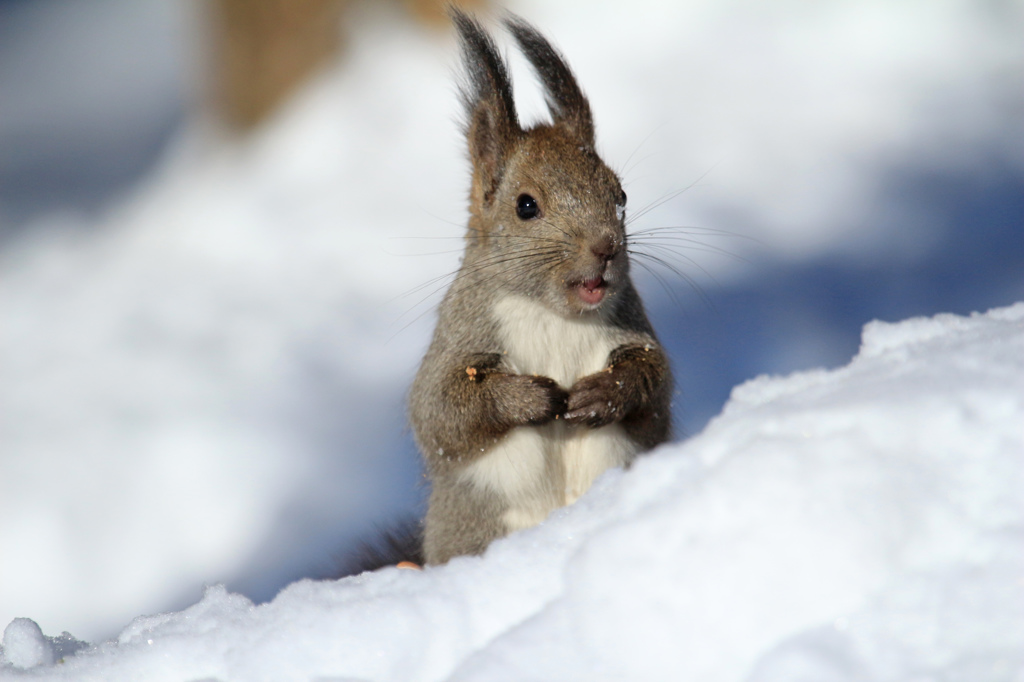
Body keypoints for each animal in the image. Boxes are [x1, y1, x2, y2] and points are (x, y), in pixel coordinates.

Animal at [403, 9, 675, 569]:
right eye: (525, 205)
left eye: (620, 195)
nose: (606, 246)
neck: (554, 315)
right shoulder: (459, 339)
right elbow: (441, 412)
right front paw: (532, 397)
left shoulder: (633, 330)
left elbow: (655, 387)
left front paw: (604, 392)